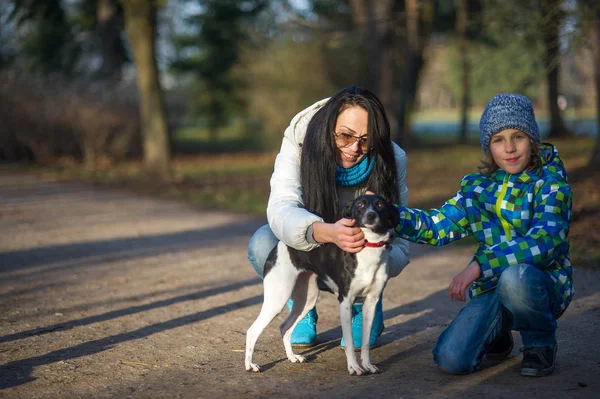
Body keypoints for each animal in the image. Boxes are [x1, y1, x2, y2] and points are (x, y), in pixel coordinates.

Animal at [244, 195, 398, 376]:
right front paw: (353, 367)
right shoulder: (345, 302)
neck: (369, 247)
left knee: (285, 327)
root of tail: (280, 244)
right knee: (253, 330)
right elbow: (350, 343)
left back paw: (292, 357)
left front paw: (367, 365)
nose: (371, 215)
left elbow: (365, 342)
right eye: (360, 204)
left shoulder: (371, 302)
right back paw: (250, 365)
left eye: (380, 205)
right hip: (278, 297)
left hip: (307, 299)